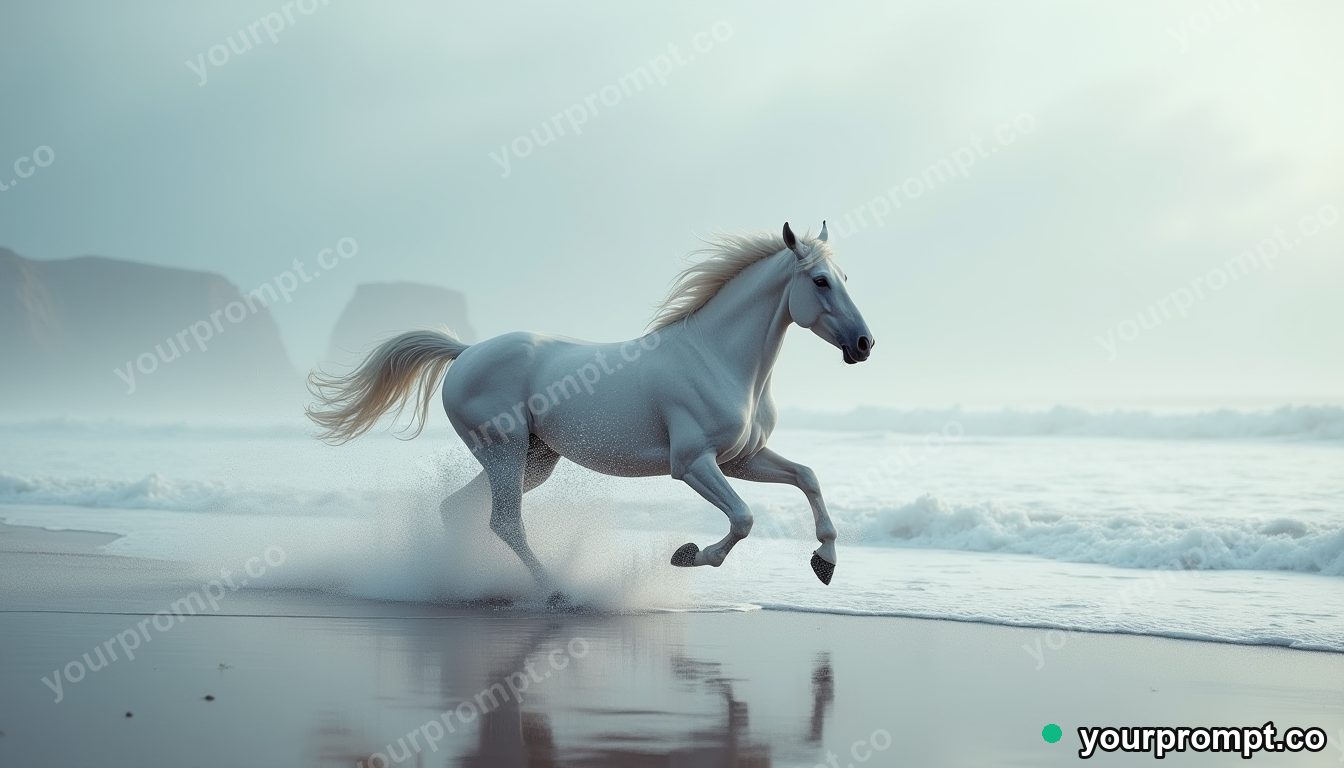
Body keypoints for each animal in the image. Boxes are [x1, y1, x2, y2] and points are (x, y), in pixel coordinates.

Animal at [307, 221, 874, 593]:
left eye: (847, 277)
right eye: (820, 281)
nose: (865, 344)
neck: (716, 358)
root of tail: (466, 352)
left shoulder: (742, 459)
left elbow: (807, 477)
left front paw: (825, 561)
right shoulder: (693, 463)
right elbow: (742, 519)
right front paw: (689, 555)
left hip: (533, 461)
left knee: (459, 510)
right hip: (505, 451)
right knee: (505, 523)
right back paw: (553, 590)